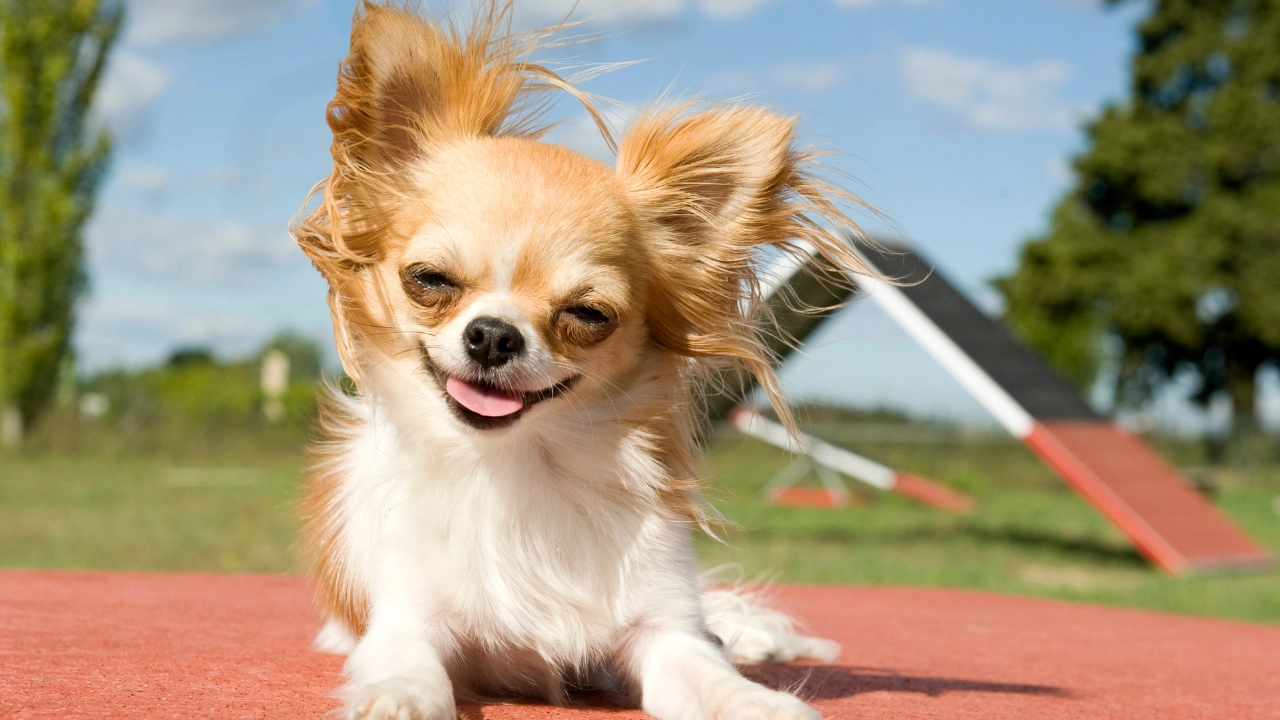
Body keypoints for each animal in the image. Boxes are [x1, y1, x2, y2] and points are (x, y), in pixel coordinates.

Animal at [291, 2, 875, 712]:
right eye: (429, 280)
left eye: (588, 314)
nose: (493, 335)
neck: (521, 469)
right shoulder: (408, 619)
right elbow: (406, 662)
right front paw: (399, 696)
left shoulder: (665, 633)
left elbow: (709, 674)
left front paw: (757, 701)